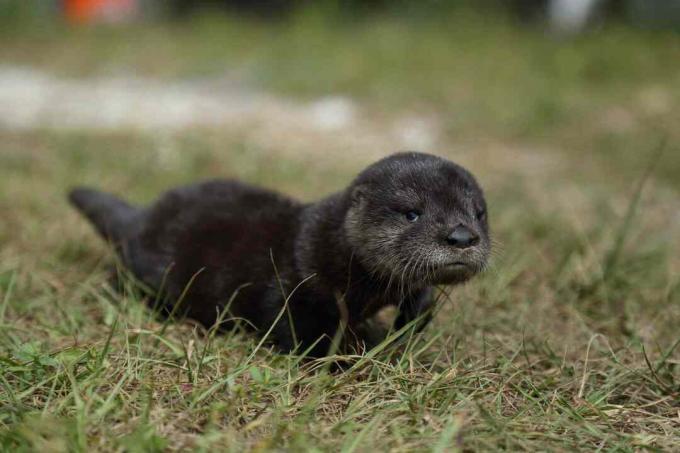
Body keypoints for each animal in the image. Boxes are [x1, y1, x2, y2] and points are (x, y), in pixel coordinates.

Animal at [70, 151, 488, 354]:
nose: (462, 236)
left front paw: (407, 325)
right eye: (412, 213)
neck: (325, 248)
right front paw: (343, 356)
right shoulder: (295, 285)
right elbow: (292, 327)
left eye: (478, 213)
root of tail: (141, 217)